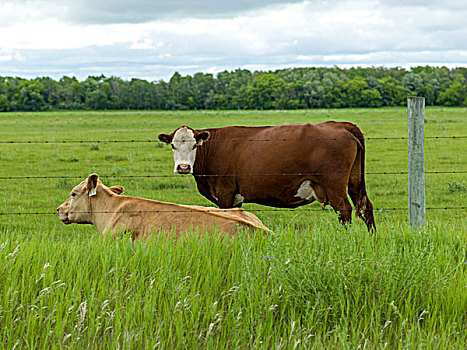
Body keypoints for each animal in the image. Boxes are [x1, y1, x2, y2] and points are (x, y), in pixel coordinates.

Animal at [159, 121, 378, 231]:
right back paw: (371, 239)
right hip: (354, 181)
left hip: (335, 185)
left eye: (194, 145)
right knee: (365, 207)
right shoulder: (236, 197)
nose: (184, 167)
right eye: (173, 145)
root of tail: (339, 124)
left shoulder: (225, 192)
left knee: (345, 210)